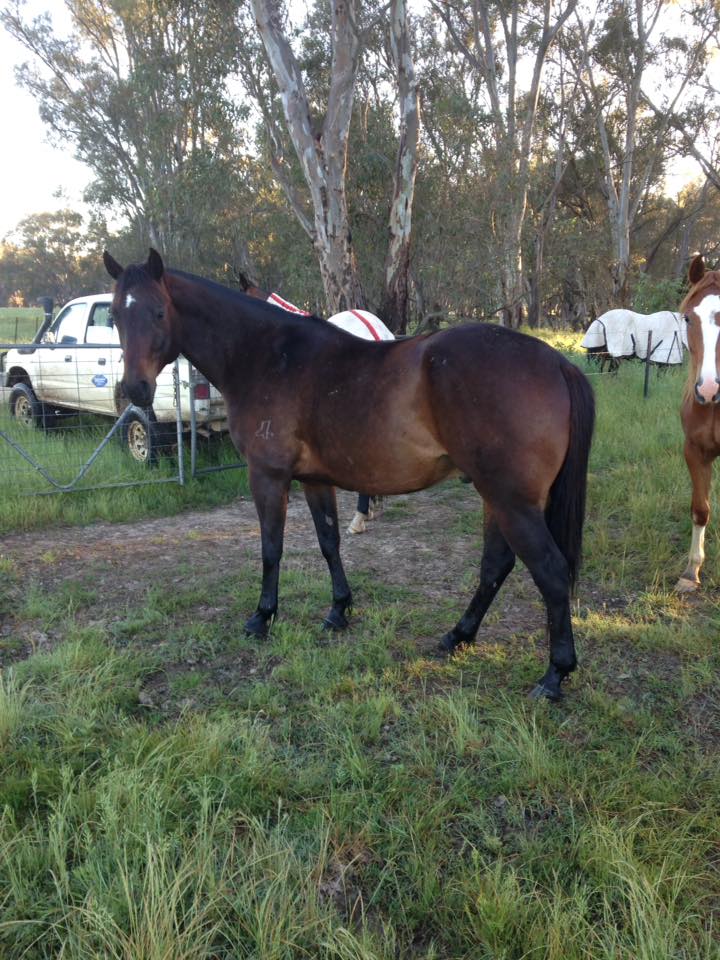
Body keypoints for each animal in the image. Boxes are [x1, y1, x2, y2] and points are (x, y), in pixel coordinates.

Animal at [103, 249, 595, 701]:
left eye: (159, 311)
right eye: (114, 316)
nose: (135, 390)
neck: (267, 355)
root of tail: (556, 362)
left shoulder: (268, 476)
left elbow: (271, 548)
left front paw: (263, 617)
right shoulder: (315, 480)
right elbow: (328, 541)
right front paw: (339, 611)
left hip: (512, 502)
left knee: (550, 572)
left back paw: (554, 675)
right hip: (497, 497)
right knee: (496, 565)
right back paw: (458, 636)